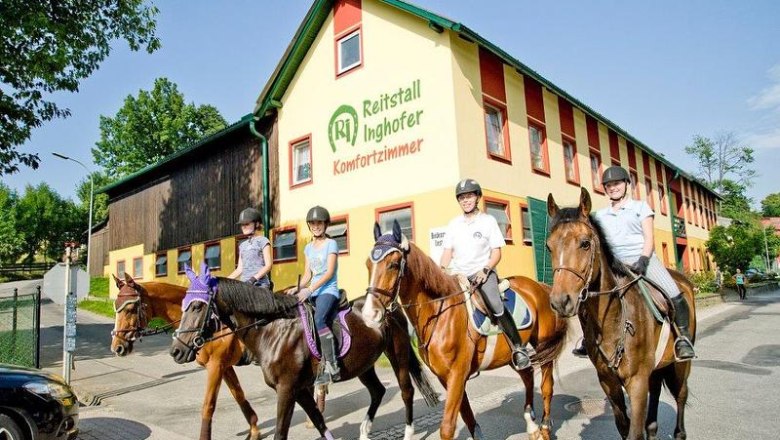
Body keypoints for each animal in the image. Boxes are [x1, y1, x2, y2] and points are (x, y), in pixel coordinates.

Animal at [109, 276, 262, 440]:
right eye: (116, 307)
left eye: (130, 309)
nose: (116, 347)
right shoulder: (225, 366)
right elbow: (239, 395)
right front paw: (254, 430)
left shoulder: (215, 366)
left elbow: (208, 406)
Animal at [169, 264, 438, 440]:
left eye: (196, 307)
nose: (176, 351)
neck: (272, 332)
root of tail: (391, 307)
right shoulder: (299, 389)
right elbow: (319, 422)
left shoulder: (287, 389)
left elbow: (281, 432)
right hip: (364, 365)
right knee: (378, 391)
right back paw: (364, 431)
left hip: (398, 355)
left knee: (406, 391)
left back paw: (408, 432)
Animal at [360, 222, 568, 440]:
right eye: (368, 264)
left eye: (392, 264)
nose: (369, 314)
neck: (439, 313)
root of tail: (541, 287)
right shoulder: (446, 377)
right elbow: (467, 416)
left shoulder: (457, 374)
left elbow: (447, 427)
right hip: (511, 354)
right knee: (527, 374)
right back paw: (532, 425)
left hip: (543, 345)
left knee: (547, 386)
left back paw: (544, 428)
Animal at [544, 187, 696, 438]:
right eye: (549, 246)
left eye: (585, 243)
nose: (560, 301)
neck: (614, 319)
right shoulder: (609, 382)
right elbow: (623, 426)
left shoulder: (636, 382)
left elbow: (634, 432)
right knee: (656, 392)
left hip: (680, 364)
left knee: (681, 394)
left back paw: (679, 432)